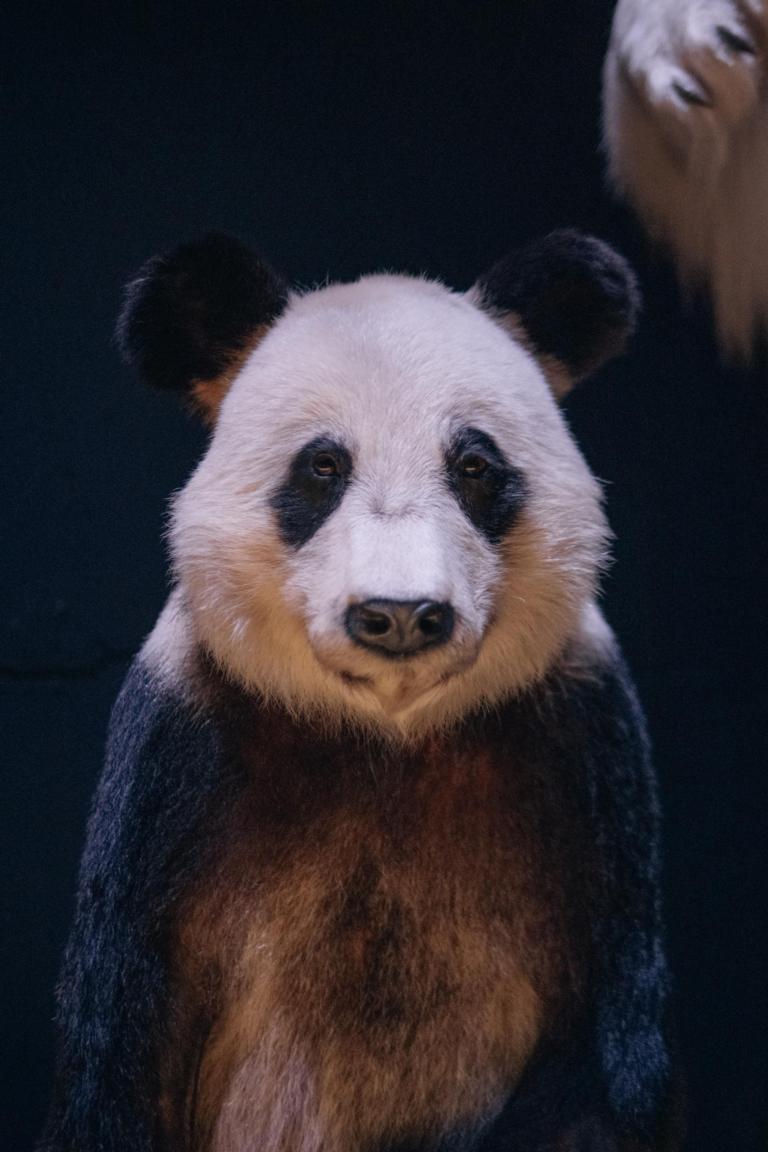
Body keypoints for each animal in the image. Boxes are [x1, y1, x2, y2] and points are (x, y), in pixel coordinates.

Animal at [38, 231, 681, 1152]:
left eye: (474, 467)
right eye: (324, 468)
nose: (400, 615)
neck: (387, 738)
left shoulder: (583, 759)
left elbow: (601, 1068)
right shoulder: (181, 758)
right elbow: (117, 1056)